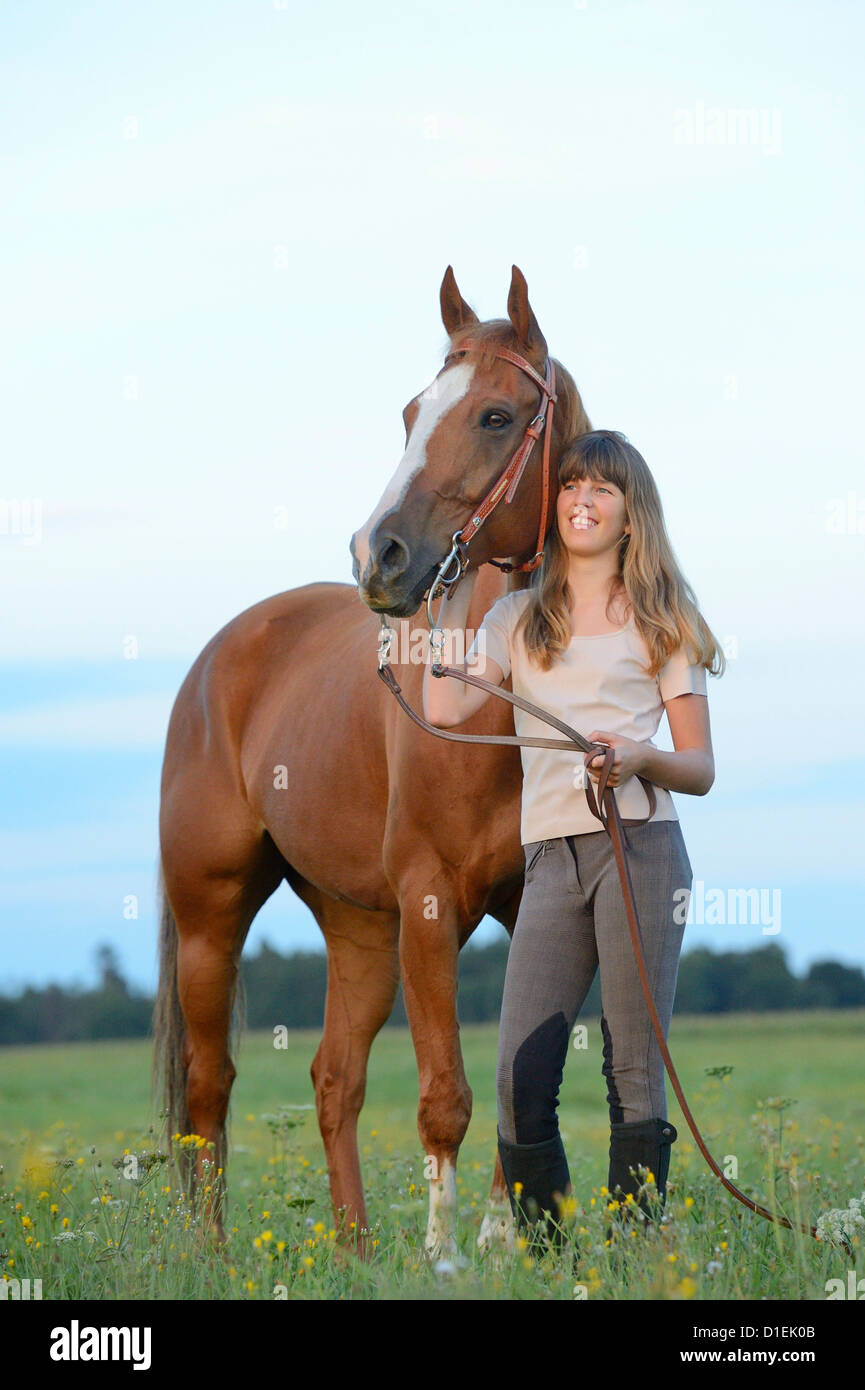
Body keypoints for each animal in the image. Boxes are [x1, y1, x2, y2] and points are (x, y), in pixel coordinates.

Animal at [154, 264, 590, 1257]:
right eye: (409, 413)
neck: (496, 712)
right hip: (211, 918)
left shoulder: (529, 905)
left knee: (333, 1079)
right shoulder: (429, 904)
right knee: (209, 1090)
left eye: (496, 416)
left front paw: (496, 1245)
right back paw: (210, 1252)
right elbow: (444, 1098)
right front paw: (443, 1255)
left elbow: (511, 1077)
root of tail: (219, 656)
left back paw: (352, 1250)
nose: (377, 556)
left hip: (358, 928)